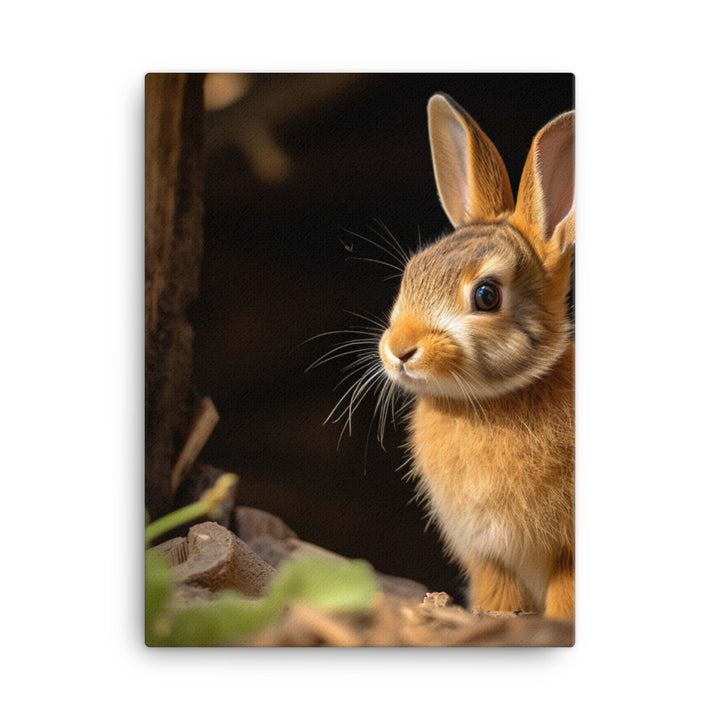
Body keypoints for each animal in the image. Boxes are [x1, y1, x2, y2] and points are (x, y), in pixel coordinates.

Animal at [377, 93, 575, 617]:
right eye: (413, 271)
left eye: (486, 296)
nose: (399, 350)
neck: (490, 401)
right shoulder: (488, 555)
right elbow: (496, 595)